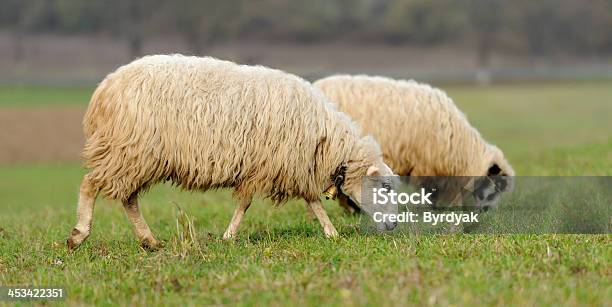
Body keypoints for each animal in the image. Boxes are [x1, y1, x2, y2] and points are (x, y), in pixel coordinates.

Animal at [67, 55, 400, 251]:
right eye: (384, 187)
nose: (394, 225)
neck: (325, 138)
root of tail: (103, 90)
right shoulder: (272, 164)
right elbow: (246, 203)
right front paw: (229, 236)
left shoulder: (291, 166)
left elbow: (313, 202)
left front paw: (331, 233)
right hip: (127, 150)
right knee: (90, 184)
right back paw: (78, 235)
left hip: (134, 156)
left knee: (127, 198)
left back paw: (149, 241)